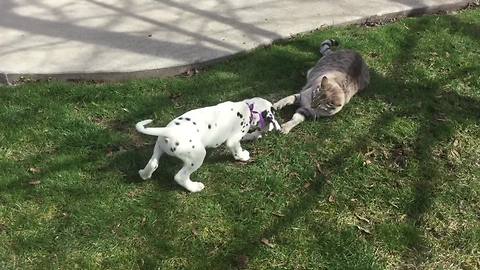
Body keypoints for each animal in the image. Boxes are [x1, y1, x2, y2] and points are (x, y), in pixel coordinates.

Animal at [135, 97, 280, 192]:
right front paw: (243, 156)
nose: (270, 128)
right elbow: (237, 147)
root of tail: (168, 131)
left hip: (158, 148)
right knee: (180, 177)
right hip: (197, 156)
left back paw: (144, 174)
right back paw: (195, 187)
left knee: (152, 163)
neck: (246, 107)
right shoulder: (233, 139)